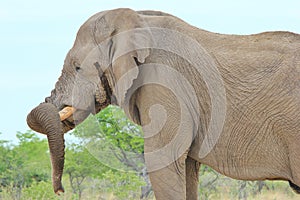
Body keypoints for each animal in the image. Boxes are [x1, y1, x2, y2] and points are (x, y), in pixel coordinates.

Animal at [26, 8, 300, 200]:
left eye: (77, 67)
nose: (60, 190)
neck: (136, 19)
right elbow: (186, 167)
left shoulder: (166, 84)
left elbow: (163, 160)